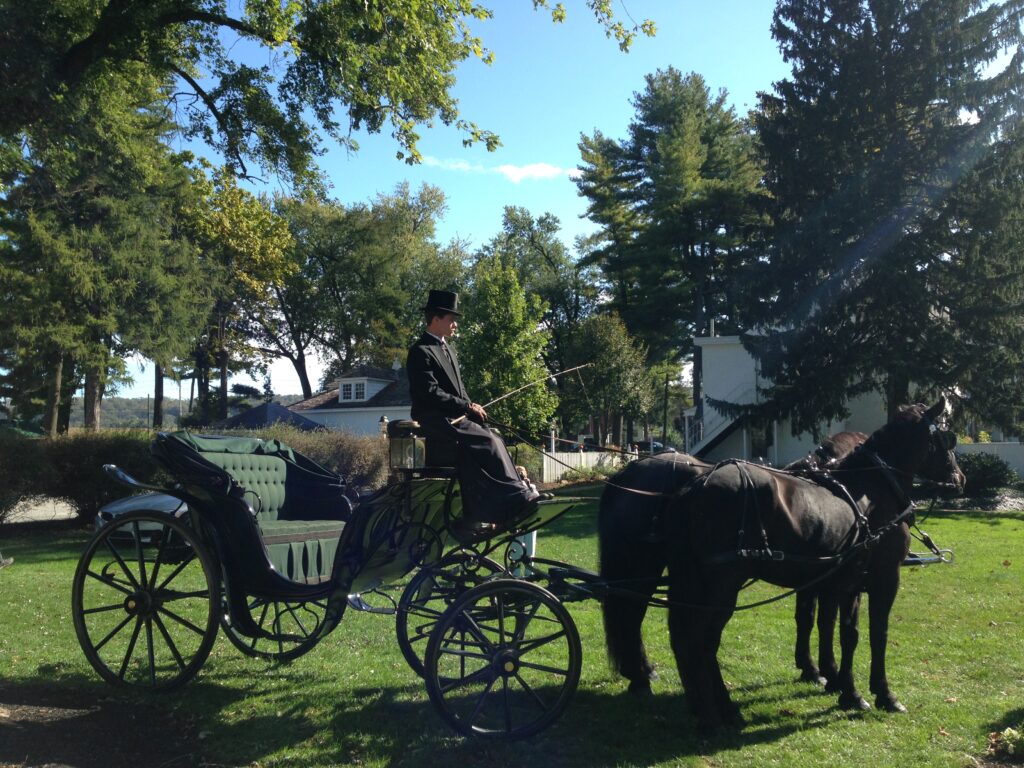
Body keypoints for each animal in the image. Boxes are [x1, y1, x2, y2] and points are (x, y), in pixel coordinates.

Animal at [598, 403, 958, 733]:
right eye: (948, 437)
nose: (960, 478)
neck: (869, 490)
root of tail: (693, 488)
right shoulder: (883, 579)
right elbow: (874, 634)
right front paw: (879, 693)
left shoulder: (840, 582)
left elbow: (838, 630)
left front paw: (839, 685)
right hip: (712, 585)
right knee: (694, 638)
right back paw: (710, 710)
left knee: (673, 633)